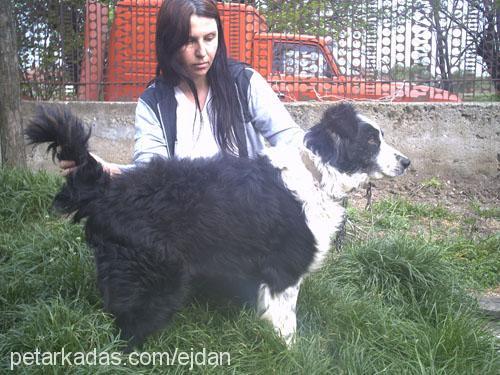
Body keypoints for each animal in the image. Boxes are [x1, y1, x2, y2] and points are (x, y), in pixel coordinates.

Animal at [25, 102, 410, 350]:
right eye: (372, 139)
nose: (407, 162)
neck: (316, 173)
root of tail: (108, 187)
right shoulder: (283, 273)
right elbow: (287, 326)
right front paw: (290, 355)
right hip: (155, 280)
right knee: (127, 328)